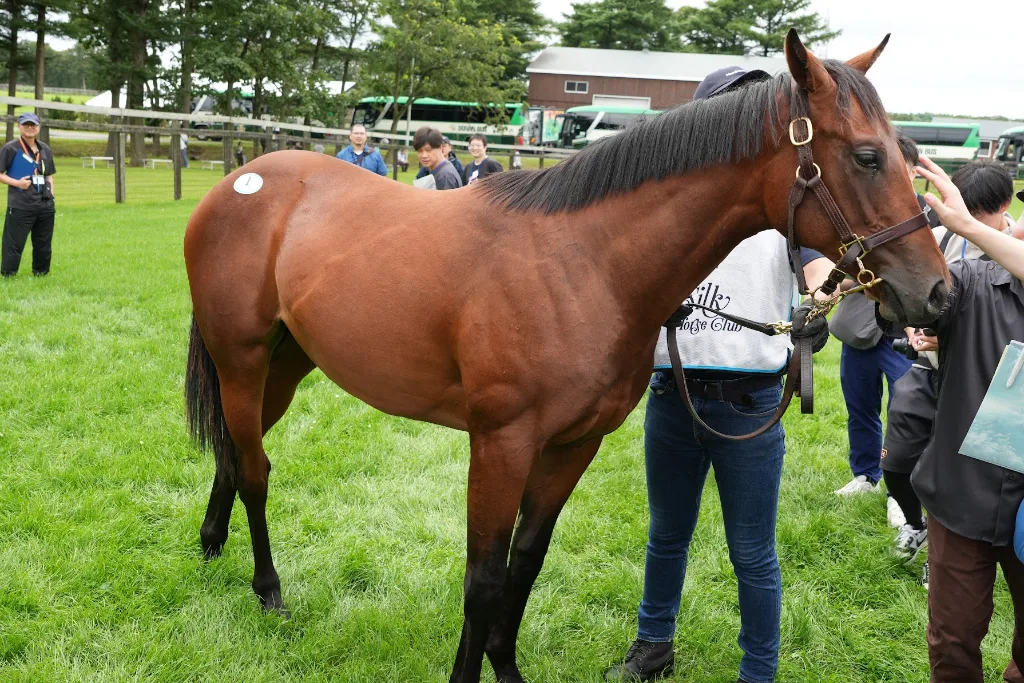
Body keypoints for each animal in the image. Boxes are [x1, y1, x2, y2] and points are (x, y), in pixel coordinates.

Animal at [183, 31, 949, 683]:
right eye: (867, 156)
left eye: (906, 153)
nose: (936, 293)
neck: (583, 262)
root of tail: (245, 179)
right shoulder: (501, 443)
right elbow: (483, 577)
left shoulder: (572, 445)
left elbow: (525, 560)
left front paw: (507, 667)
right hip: (243, 360)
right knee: (255, 469)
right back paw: (269, 592)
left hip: (284, 365)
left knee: (232, 453)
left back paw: (212, 543)